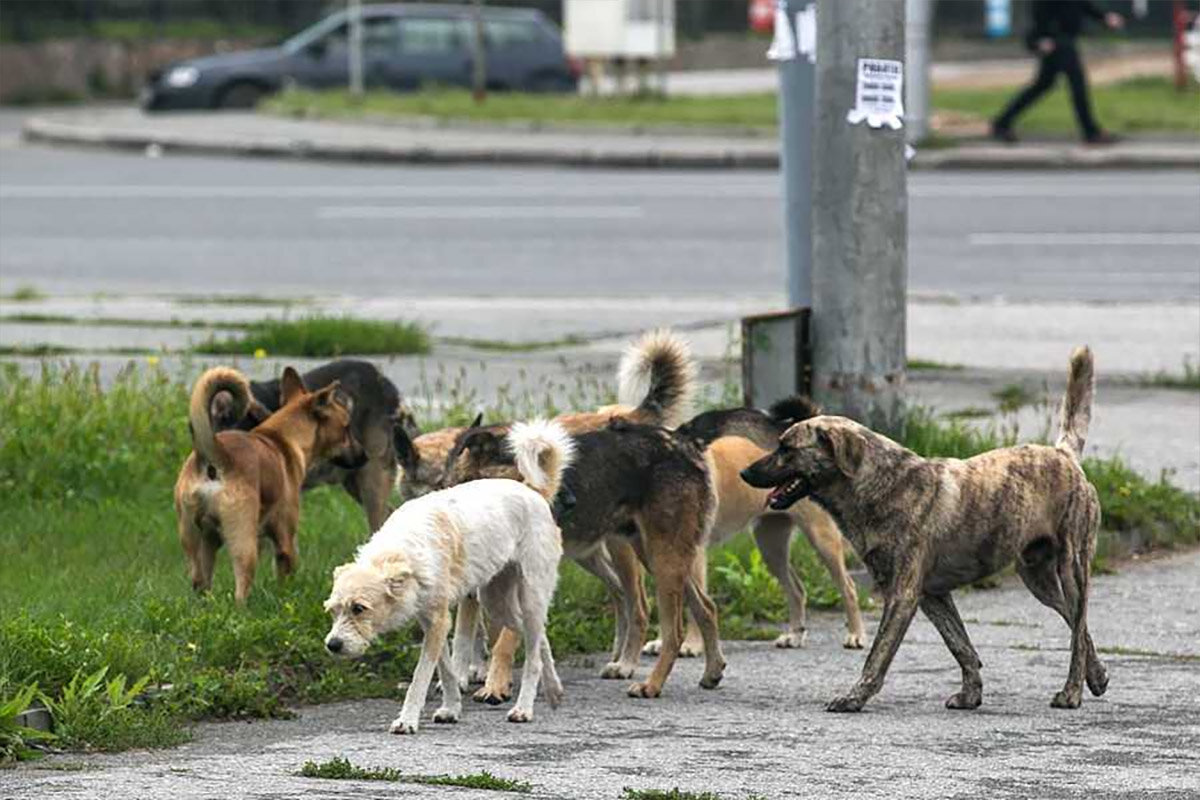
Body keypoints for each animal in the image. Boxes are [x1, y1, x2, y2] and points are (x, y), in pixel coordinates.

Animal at [172, 367, 355, 604]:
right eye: (346, 428)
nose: (364, 456)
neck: (283, 438)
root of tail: (216, 455)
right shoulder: (285, 540)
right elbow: (286, 573)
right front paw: (286, 597)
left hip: (195, 539)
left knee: (199, 581)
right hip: (243, 542)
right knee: (241, 587)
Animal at [326, 422, 573, 734]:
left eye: (359, 609)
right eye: (332, 611)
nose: (332, 645)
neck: (402, 551)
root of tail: (533, 491)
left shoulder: (438, 622)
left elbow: (421, 676)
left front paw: (407, 719)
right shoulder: (433, 622)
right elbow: (447, 671)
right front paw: (451, 709)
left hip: (529, 595)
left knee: (532, 657)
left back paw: (523, 708)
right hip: (497, 602)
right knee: (538, 640)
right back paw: (554, 690)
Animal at [739, 350, 1104, 714]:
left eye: (786, 448)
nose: (744, 472)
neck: (880, 485)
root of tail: (1064, 454)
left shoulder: (902, 595)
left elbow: (878, 655)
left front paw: (855, 696)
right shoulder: (932, 595)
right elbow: (961, 646)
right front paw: (971, 694)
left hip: (1072, 568)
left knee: (1078, 626)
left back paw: (1072, 692)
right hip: (1037, 579)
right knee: (1079, 625)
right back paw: (1097, 675)